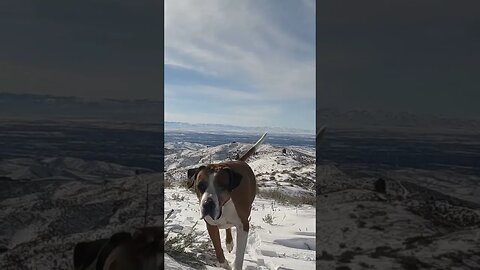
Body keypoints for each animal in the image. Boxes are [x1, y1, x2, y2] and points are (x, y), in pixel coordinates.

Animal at [187, 133, 266, 270]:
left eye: (221, 186)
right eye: (200, 186)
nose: (208, 204)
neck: (223, 208)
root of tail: (239, 161)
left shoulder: (243, 226)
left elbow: (239, 256)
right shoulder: (211, 225)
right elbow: (217, 247)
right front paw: (224, 264)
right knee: (227, 227)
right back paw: (229, 242)